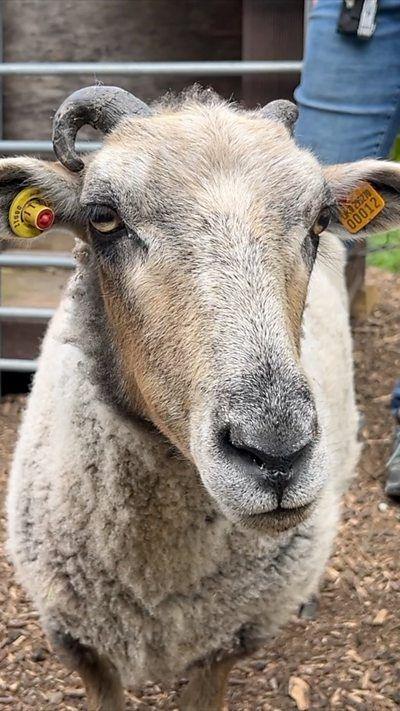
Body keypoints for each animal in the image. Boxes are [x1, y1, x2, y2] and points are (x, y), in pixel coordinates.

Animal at [4, 85, 400, 711]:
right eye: (103, 218)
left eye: (318, 221)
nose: (276, 454)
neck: (156, 573)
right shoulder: (78, 643)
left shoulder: (227, 643)